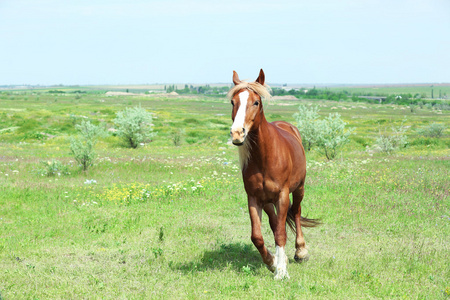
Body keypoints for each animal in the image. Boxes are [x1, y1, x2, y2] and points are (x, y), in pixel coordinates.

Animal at [229, 68, 320, 278]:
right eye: (232, 102)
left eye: (256, 102)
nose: (237, 133)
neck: (264, 157)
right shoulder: (254, 198)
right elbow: (257, 236)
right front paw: (272, 261)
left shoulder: (282, 195)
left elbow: (280, 233)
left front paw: (281, 271)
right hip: (268, 201)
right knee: (275, 221)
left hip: (299, 189)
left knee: (296, 213)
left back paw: (300, 251)